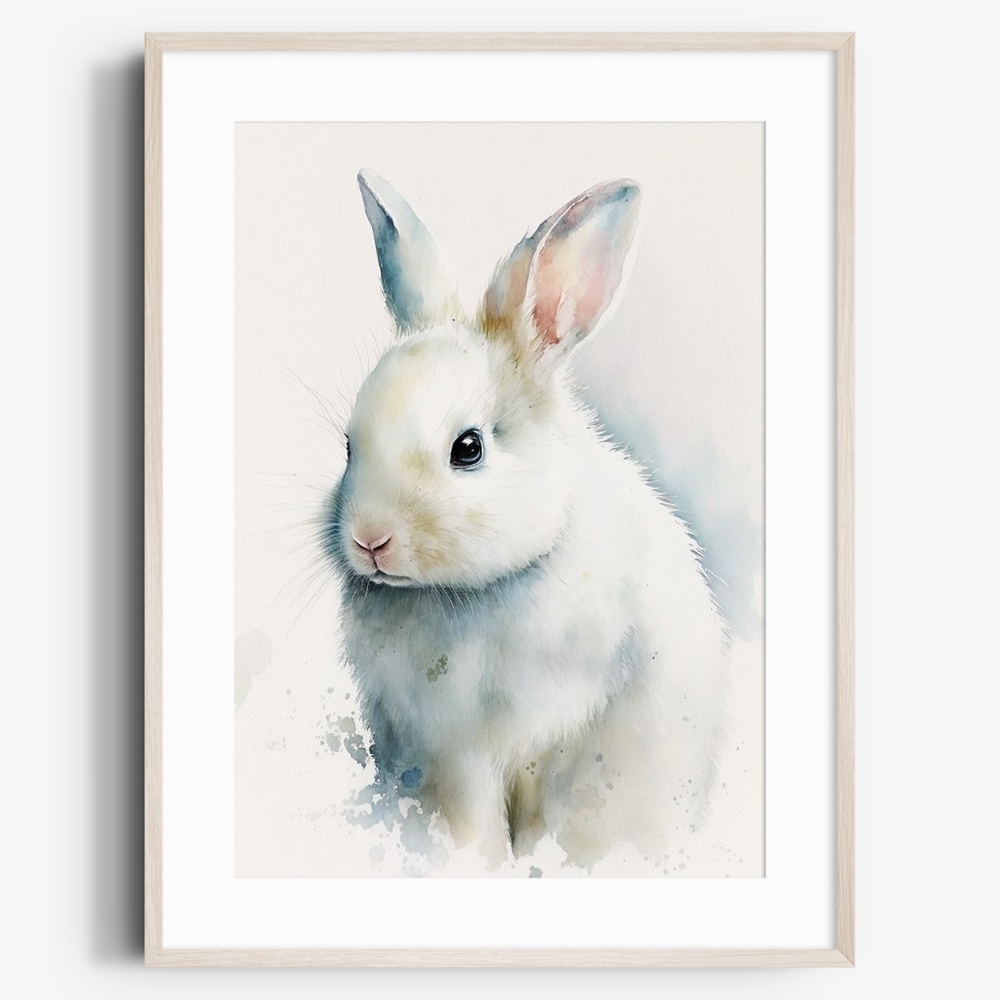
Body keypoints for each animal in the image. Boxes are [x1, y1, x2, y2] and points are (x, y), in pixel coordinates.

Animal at [323, 169, 729, 869]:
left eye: (468, 448)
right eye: (349, 445)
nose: (370, 540)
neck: (467, 593)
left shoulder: (544, 737)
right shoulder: (444, 752)